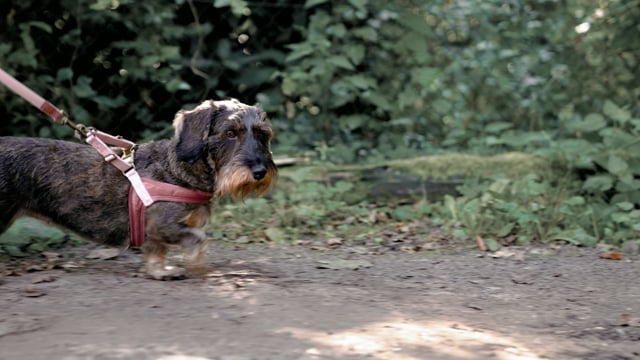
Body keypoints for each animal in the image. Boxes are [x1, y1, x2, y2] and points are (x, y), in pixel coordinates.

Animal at [0, 100, 278, 280]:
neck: (177, 171)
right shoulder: (161, 226)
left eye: (263, 134)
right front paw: (198, 267)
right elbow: (198, 239)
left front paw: (160, 271)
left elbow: (156, 254)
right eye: (230, 133)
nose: (260, 171)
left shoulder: (156, 236)